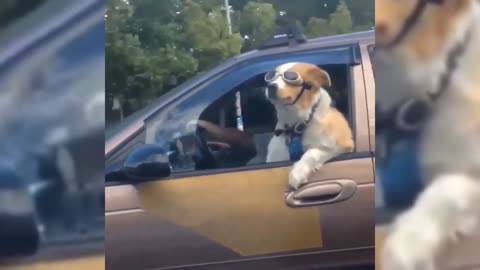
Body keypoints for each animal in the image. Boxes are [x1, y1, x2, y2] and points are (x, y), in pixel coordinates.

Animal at [264, 62, 354, 190]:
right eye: (272, 76)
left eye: (291, 77)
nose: (271, 86)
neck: (296, 125)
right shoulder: (276, 155)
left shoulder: (341, 144)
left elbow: (312, 152)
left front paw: (298, 172)